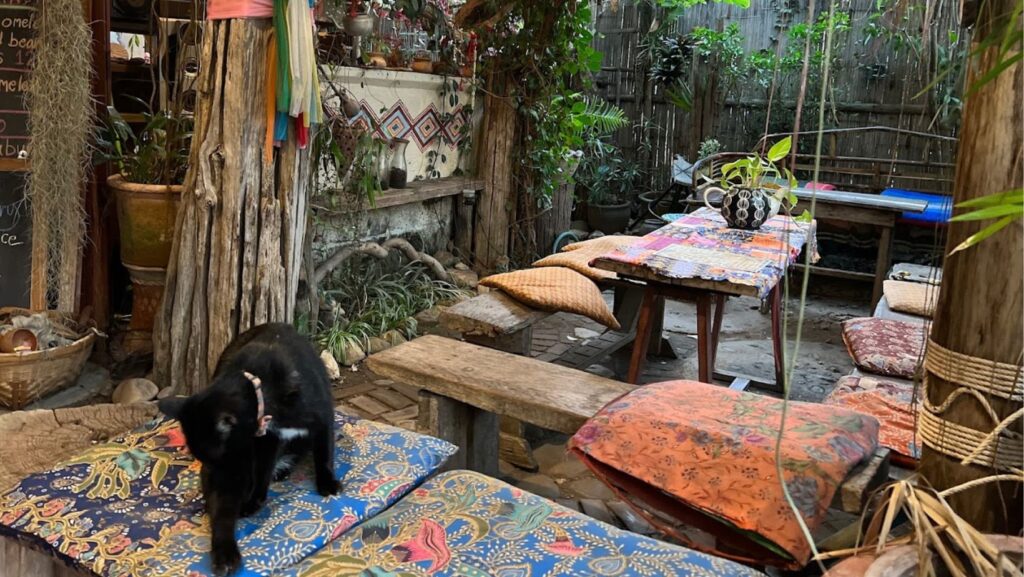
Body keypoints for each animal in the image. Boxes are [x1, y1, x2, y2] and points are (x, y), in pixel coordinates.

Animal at [156, 323, 339, 573]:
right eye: (207, 460)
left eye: (216, 456)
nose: (209, 471)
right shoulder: (256, 449)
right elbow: (228, 503)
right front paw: (225, 550)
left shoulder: (322, 417)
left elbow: (324, 451)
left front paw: (328, 483)